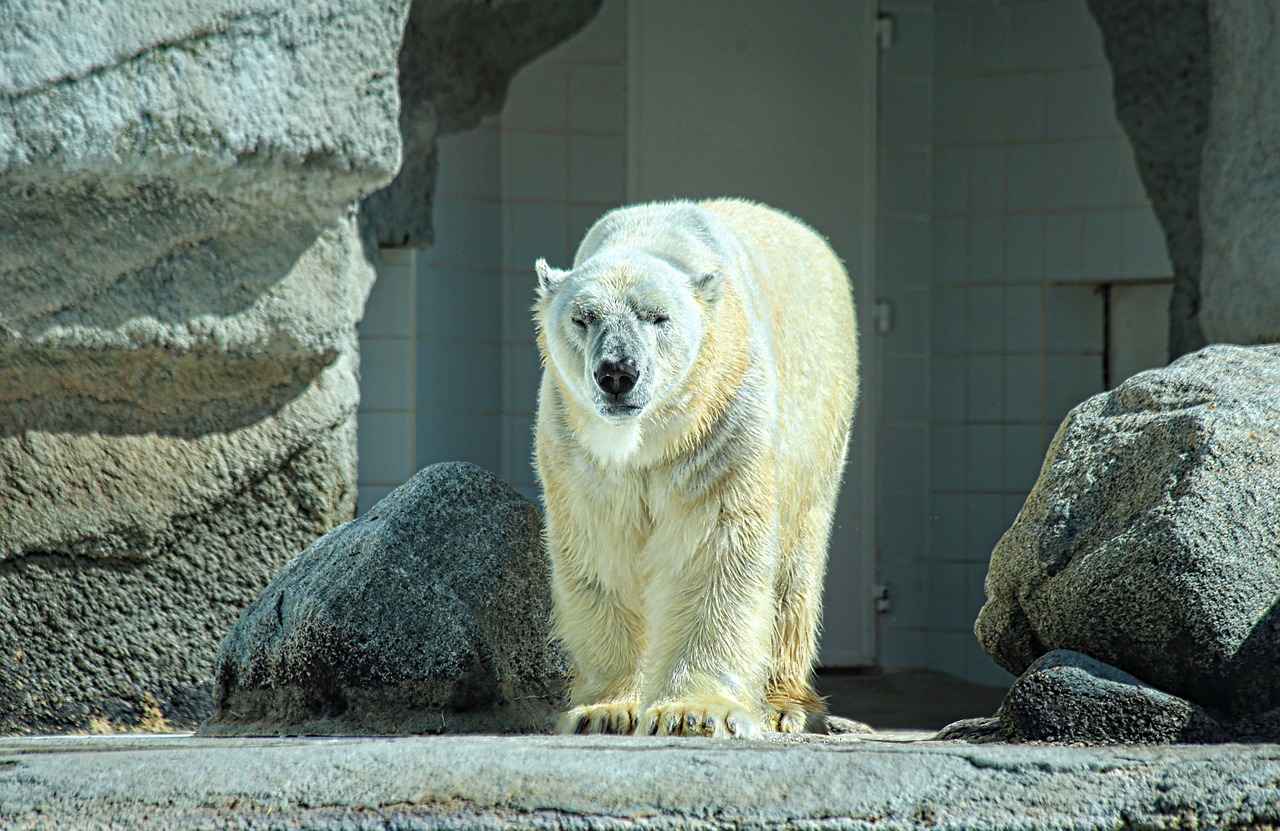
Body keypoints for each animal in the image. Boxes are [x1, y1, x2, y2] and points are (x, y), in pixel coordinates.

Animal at [529, 197, 860, 737]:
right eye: (584, 318)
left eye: (657, 317)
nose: (617, 373)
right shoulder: (576, 438)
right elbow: (603, 548)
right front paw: (604, 710)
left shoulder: (719, 416)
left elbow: (714, 543)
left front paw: (695, 712)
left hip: (823, 415)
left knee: (797, 560)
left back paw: (784, 706)